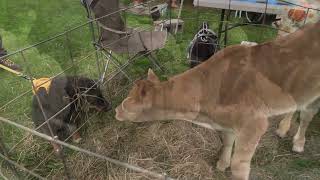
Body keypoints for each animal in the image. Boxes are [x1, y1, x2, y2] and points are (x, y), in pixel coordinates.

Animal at [115, 21, 320, 179]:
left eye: (127, 101)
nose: (116, 110)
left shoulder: (254, 124)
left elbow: (239, 167)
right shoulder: (227, 122)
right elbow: (227, 141)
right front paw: (222, 164)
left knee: (307, 115)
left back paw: (298, 143)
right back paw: (283, 128)